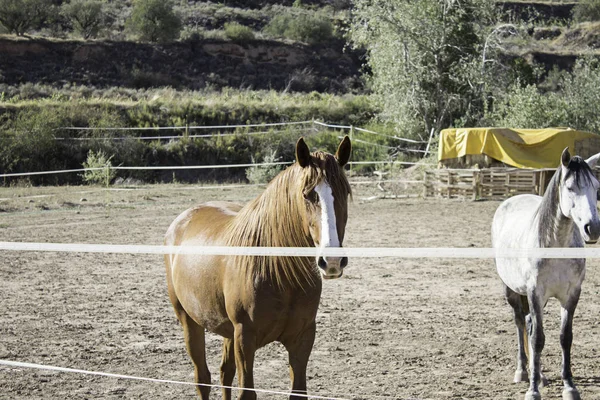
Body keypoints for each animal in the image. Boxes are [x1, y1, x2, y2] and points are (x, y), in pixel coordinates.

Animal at [164, 136, 352, 398]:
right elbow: (247, 392)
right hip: (189, 321)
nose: (332, 261)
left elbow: (298, 390)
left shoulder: (302, 337)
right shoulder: (245, 338)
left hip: (227, 331)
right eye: (307, 195)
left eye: (344, 193)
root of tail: (182, 219)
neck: (279, 274)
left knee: (225, 374)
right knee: (203, 378)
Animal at [492, 148, 600, 400]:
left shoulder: (571, 294)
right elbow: (537, 339)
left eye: (596, 187)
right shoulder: (535, 292)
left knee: (530, 323)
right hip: (512, 291)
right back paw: (523, 372)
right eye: (570, 187)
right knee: (520, 323)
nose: (593, 228)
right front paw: (532, 391)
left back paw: (540, 375)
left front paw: (569, 386)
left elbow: (565, 337)